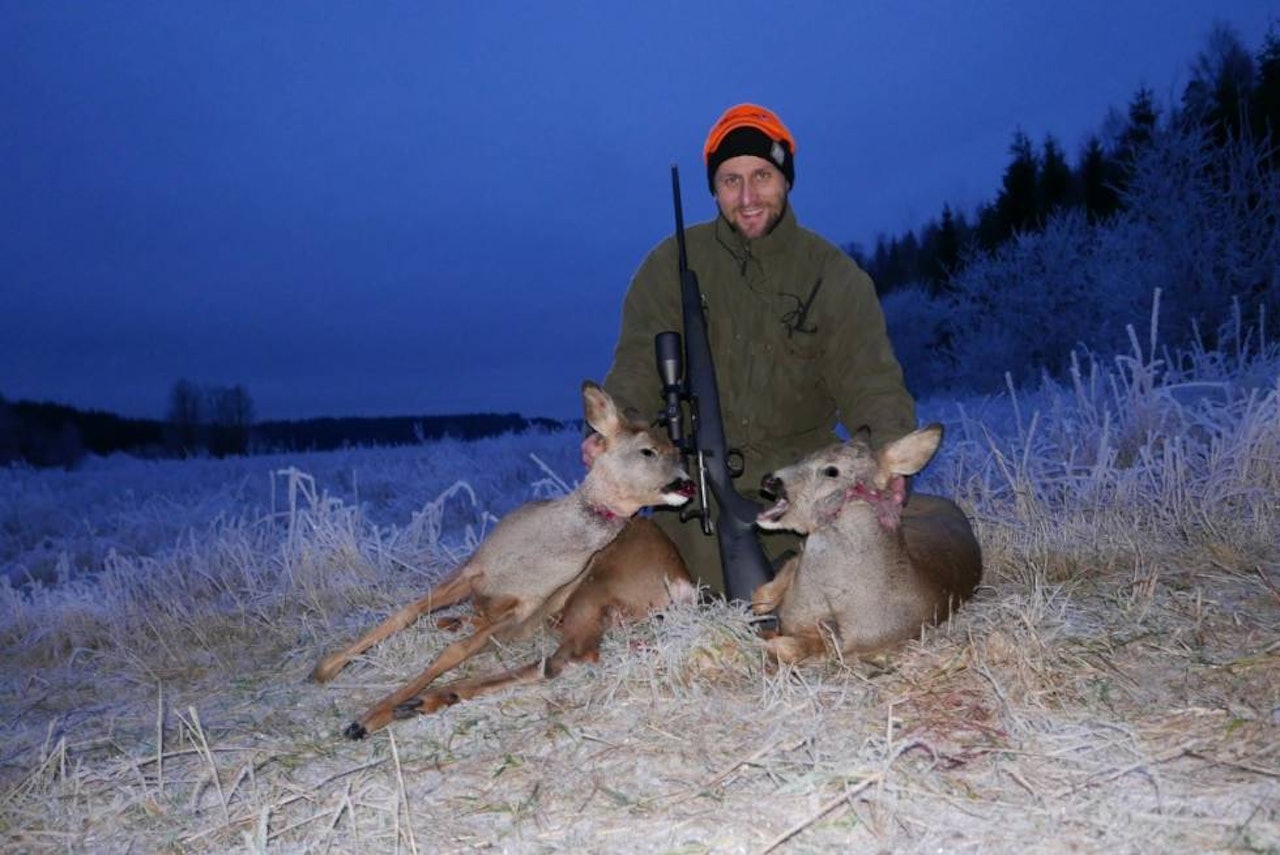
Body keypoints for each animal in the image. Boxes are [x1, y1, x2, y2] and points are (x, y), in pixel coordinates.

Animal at [313, 378, 696, 737]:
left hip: (596, 588)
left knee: (561, 660)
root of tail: (682, 580)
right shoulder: (474, 567)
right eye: (649, 451)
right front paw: (325, 668)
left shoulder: (526, 606)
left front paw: (371, 716)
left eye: (677, 453)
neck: (533, 553)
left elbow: (456, 651)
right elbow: (407, 612)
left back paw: (429, 697)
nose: (688, 483)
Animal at [747, 424, 977, 665]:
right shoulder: (797, 562)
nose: (769, 479)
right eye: (808, 455)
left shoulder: (845, 646)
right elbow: (764, 595)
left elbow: (794, 648)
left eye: (831, 471)